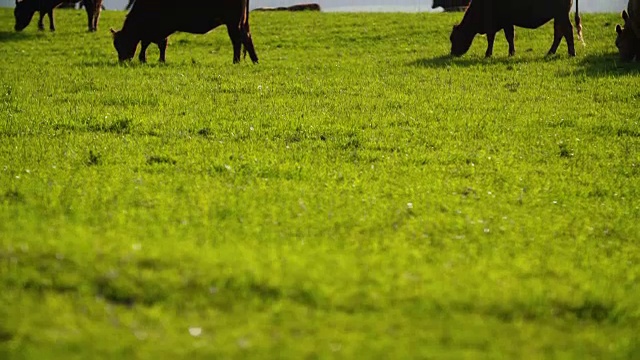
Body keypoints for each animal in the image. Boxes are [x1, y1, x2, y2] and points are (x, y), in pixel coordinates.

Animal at [110, 0, 258, 63]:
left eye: (121, 44)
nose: (122, 61)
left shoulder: (157, 28)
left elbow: (148, 43)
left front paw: (143, 59)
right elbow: (161, 44)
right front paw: (161, 60)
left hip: (233, 22)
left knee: (237, 39)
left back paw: (236, 61)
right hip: (242, 21)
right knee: (247, 36)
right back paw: (254, 60)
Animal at [450, 0, 580, 57]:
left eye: (453, 38)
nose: (452, 53)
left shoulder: (500, 23)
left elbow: (496, 38)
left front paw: (488, 54)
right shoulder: (506, 23)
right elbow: (509, 37)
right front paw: (511, 52)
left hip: (561, 14)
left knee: (567, 30)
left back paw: (571, 53)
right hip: (558, 16)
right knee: (559, 32)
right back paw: (551, 52)